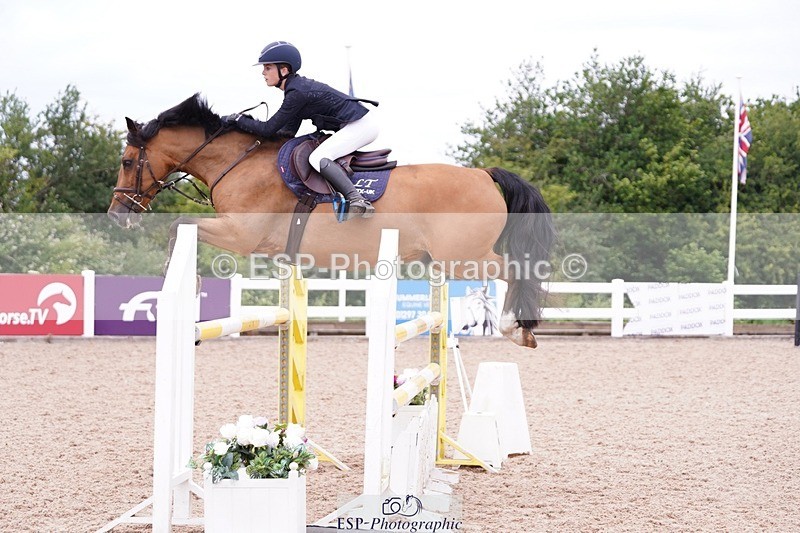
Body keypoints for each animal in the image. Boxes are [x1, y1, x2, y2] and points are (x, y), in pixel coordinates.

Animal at [107, 94, 554, 348]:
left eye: (127, 161)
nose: (116, 214)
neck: (238, 162)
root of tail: (483, 174)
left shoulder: (241, 233)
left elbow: (179, 225)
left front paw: (182, 280)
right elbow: (182, 227)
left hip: (464, 256)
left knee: (517, 270)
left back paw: (518, 329)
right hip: (447, 260)